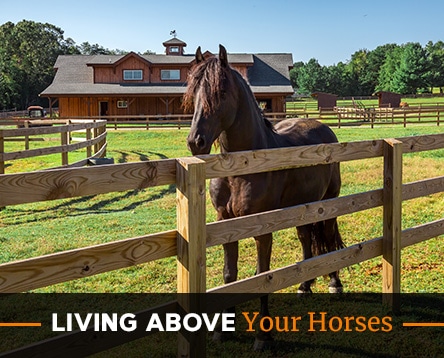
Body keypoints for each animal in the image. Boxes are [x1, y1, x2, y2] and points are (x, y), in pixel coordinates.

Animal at [183, 44, 344, 350]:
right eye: (193, 90)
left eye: (221, 91)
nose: (196, 141)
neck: (242, 169)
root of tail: (323, 127)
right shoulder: (226, 224)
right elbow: (230, 275)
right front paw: (223, 330)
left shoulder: (262, 228)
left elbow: (261, 276)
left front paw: (263, 336)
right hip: (301, 208)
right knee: (306, 238)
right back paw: (305, 285)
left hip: (328, 203)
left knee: (328, 238)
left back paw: (334, 283)